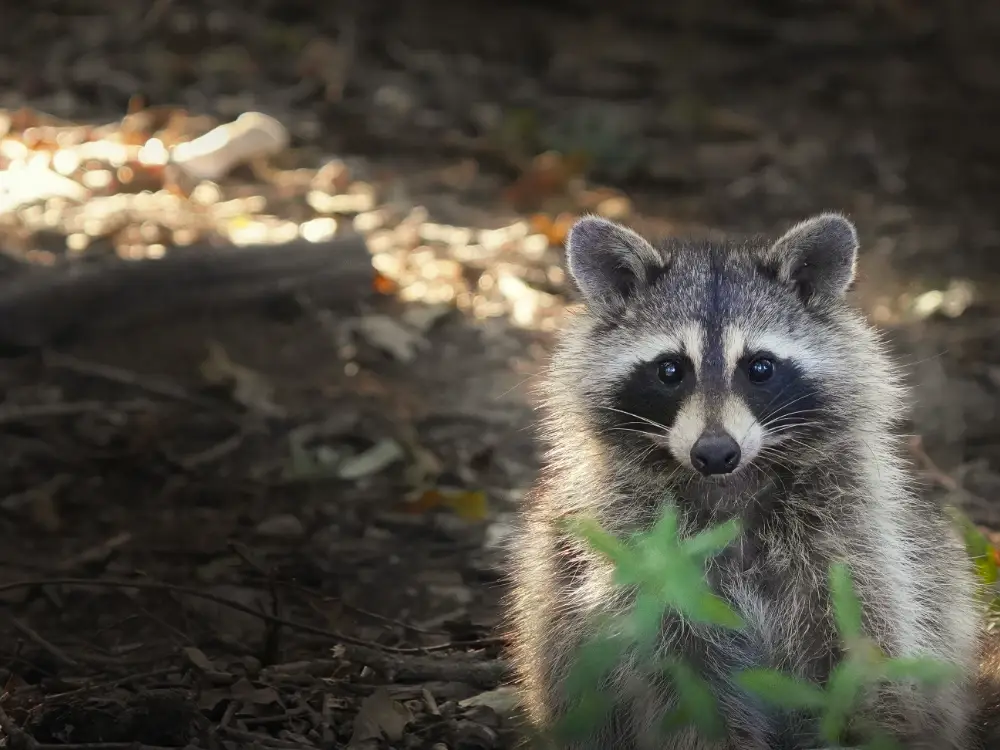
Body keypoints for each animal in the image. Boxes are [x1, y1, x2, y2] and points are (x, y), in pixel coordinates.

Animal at [506, 213, 983, 749]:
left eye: (760, 367)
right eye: (670, 370)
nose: (715, 453)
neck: (729, 487)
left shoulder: (851, 536)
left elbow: (867, 641)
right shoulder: (644, 556)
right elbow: (683, 681)